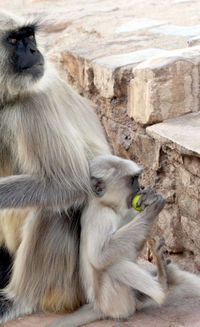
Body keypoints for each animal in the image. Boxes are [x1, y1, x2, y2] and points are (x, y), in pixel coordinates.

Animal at [0, 10, 111, 322]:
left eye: (29, 37)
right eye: (14, 41)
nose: (33, 51)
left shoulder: (32, 103)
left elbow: (70, 183)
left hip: (71, 286)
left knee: (54, 208)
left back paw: (18, 299)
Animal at [48, 156, 166, 327]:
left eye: (137, 179)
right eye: (133, 180)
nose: (141, 187)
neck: (105, 204)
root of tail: (98, 306)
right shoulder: (101, 215)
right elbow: (99, 257)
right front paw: (151, 210)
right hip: (113, 301)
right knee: (112, 265)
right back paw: (162, 288)